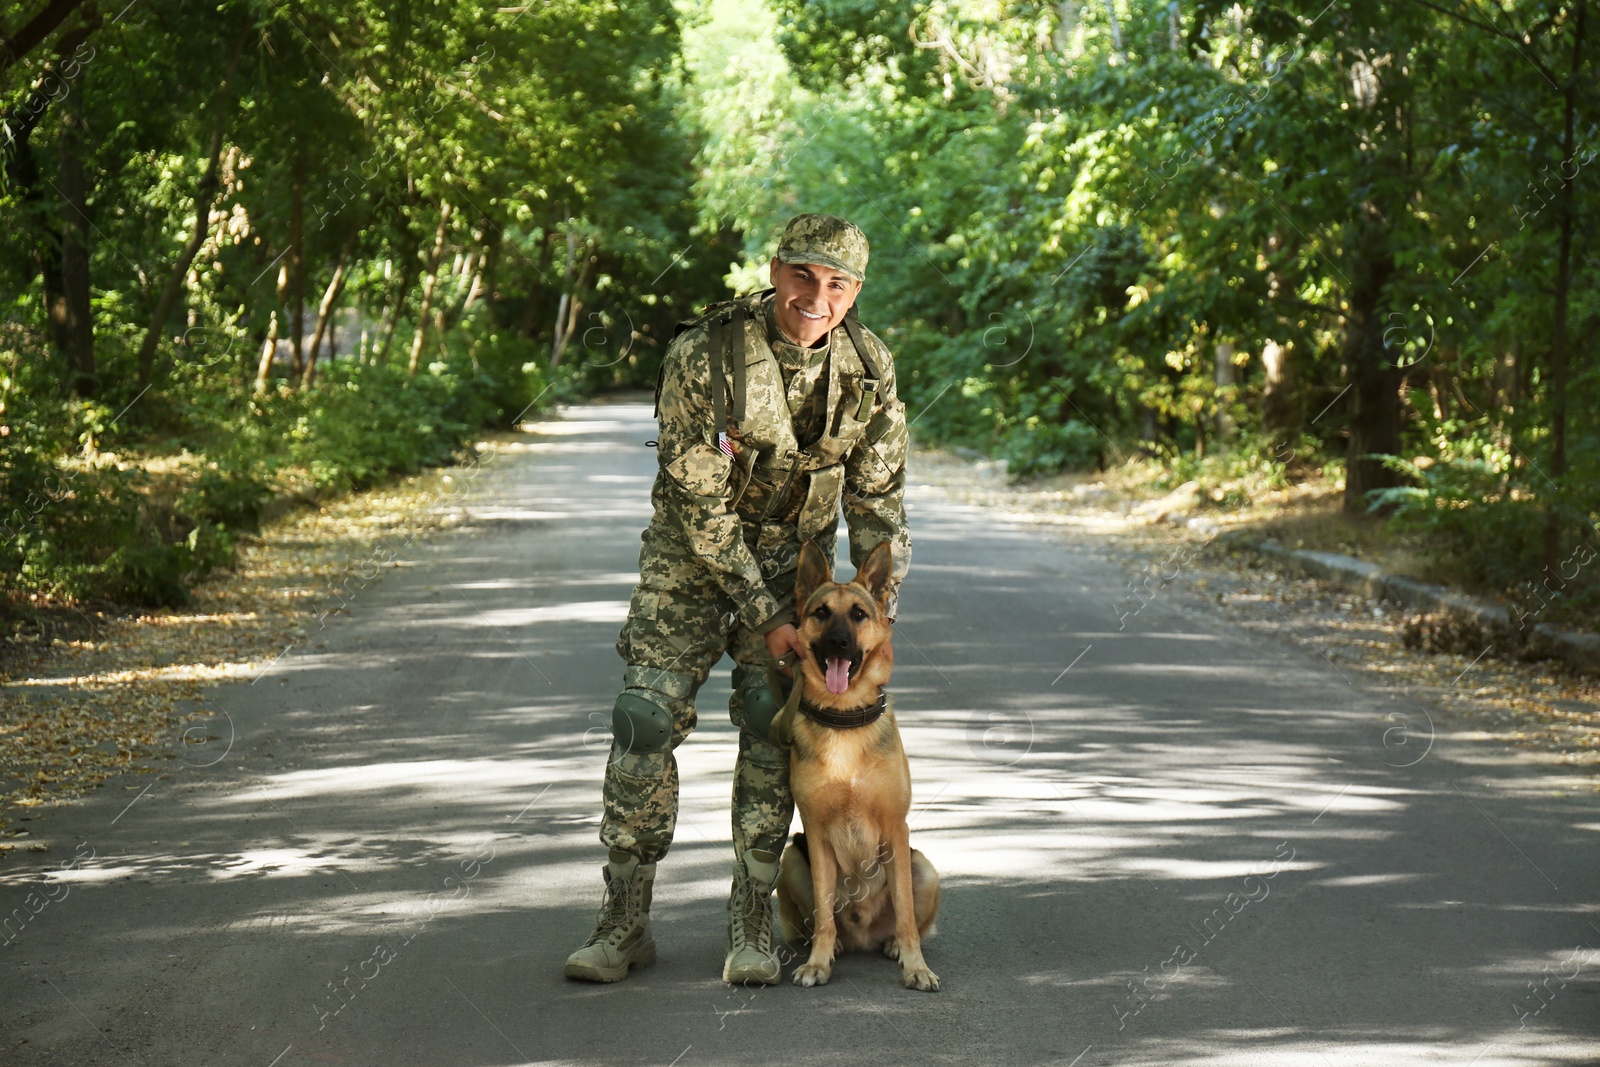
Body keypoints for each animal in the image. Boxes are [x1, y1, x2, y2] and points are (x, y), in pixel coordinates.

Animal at [771, 543, 934, 991]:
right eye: (821, 613)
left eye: (859, 614)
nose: (839, 643)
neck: (843, 717)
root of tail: (865, 933)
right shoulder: (816, 834)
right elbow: (825, 913)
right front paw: (818, 963)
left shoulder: (896, 830)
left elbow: (907, 915)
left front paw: (916, 967)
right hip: (792, 860)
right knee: (821, 922)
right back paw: (836, 946)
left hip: (923, 867)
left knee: (905, 920)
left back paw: (894, 946)